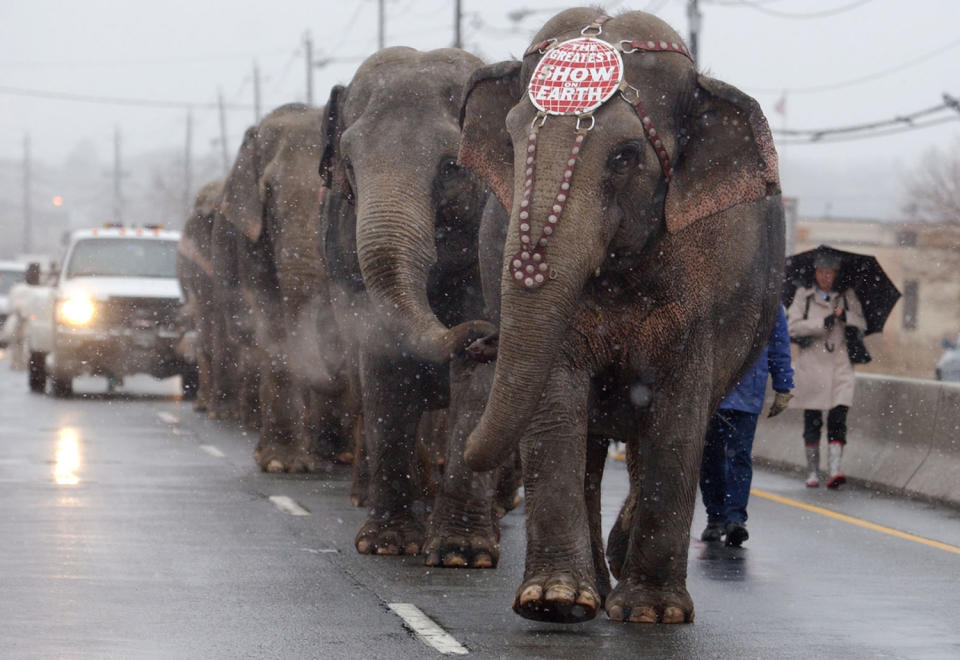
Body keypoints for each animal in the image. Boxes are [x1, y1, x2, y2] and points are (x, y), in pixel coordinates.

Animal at [219, 103, 354, 472]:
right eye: (268, 191)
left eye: (333, 194)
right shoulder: (251, 240)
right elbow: (272, 317)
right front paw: (282, 464)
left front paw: (328, 455)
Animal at [316, 46, 512, 564]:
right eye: (348, 162)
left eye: (451, 165)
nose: (480, 333)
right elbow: (382, 363)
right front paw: (387, 544)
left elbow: (481, 386)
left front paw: (462, 554)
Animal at [460, 7, 788, 620]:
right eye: (513, 144)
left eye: (624, 156)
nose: (476, 344)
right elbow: (556, 398)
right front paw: (554, 602)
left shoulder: (710, 280)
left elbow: (679, 414)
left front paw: (652, 612)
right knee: (594, 446)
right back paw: (596, 580)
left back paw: (620, 564)